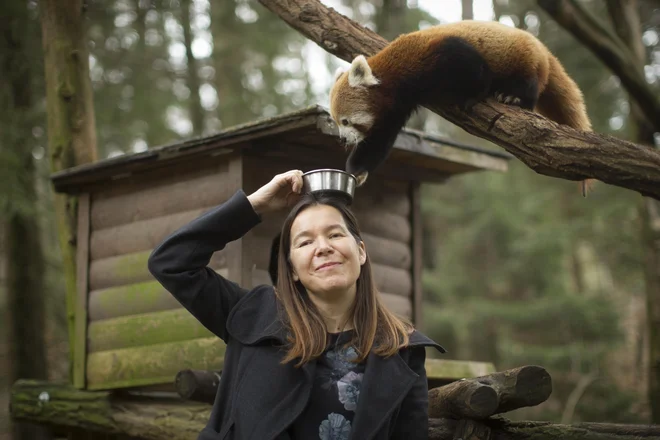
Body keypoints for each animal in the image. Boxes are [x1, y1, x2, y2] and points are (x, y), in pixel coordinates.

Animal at [330, 18, 592, 194]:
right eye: (337, 123)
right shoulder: (396, 106)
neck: (394, 78)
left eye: (345, 121)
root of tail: (542, 48)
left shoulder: (437, 55)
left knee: (529, 84)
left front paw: (476, 94)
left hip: (525, 60)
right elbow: (380, 139)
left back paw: (514, 97)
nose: (342, 139)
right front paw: (358, 170)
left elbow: (475, 69)